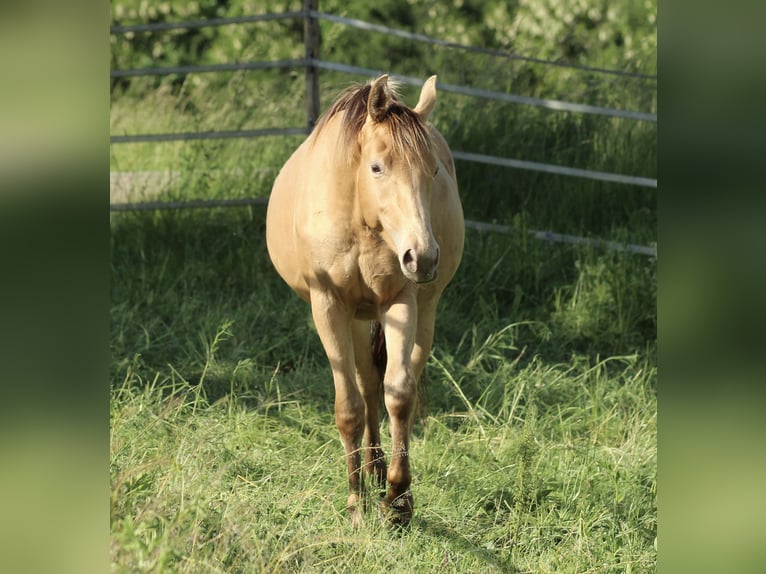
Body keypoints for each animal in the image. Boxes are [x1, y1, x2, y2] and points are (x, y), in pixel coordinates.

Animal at [266, 74, 464, 526]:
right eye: (377, 167)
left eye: (434, 170)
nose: (423, 256)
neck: (359, 219)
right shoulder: (328, 306)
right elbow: (350, 408)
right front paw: (356, 503)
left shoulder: (400, 301)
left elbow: (400, 394)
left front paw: (398, 498)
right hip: (355, 316)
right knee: (365, 383)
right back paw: (370, 471)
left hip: (419, 311)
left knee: (384, 383)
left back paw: (380, 473)